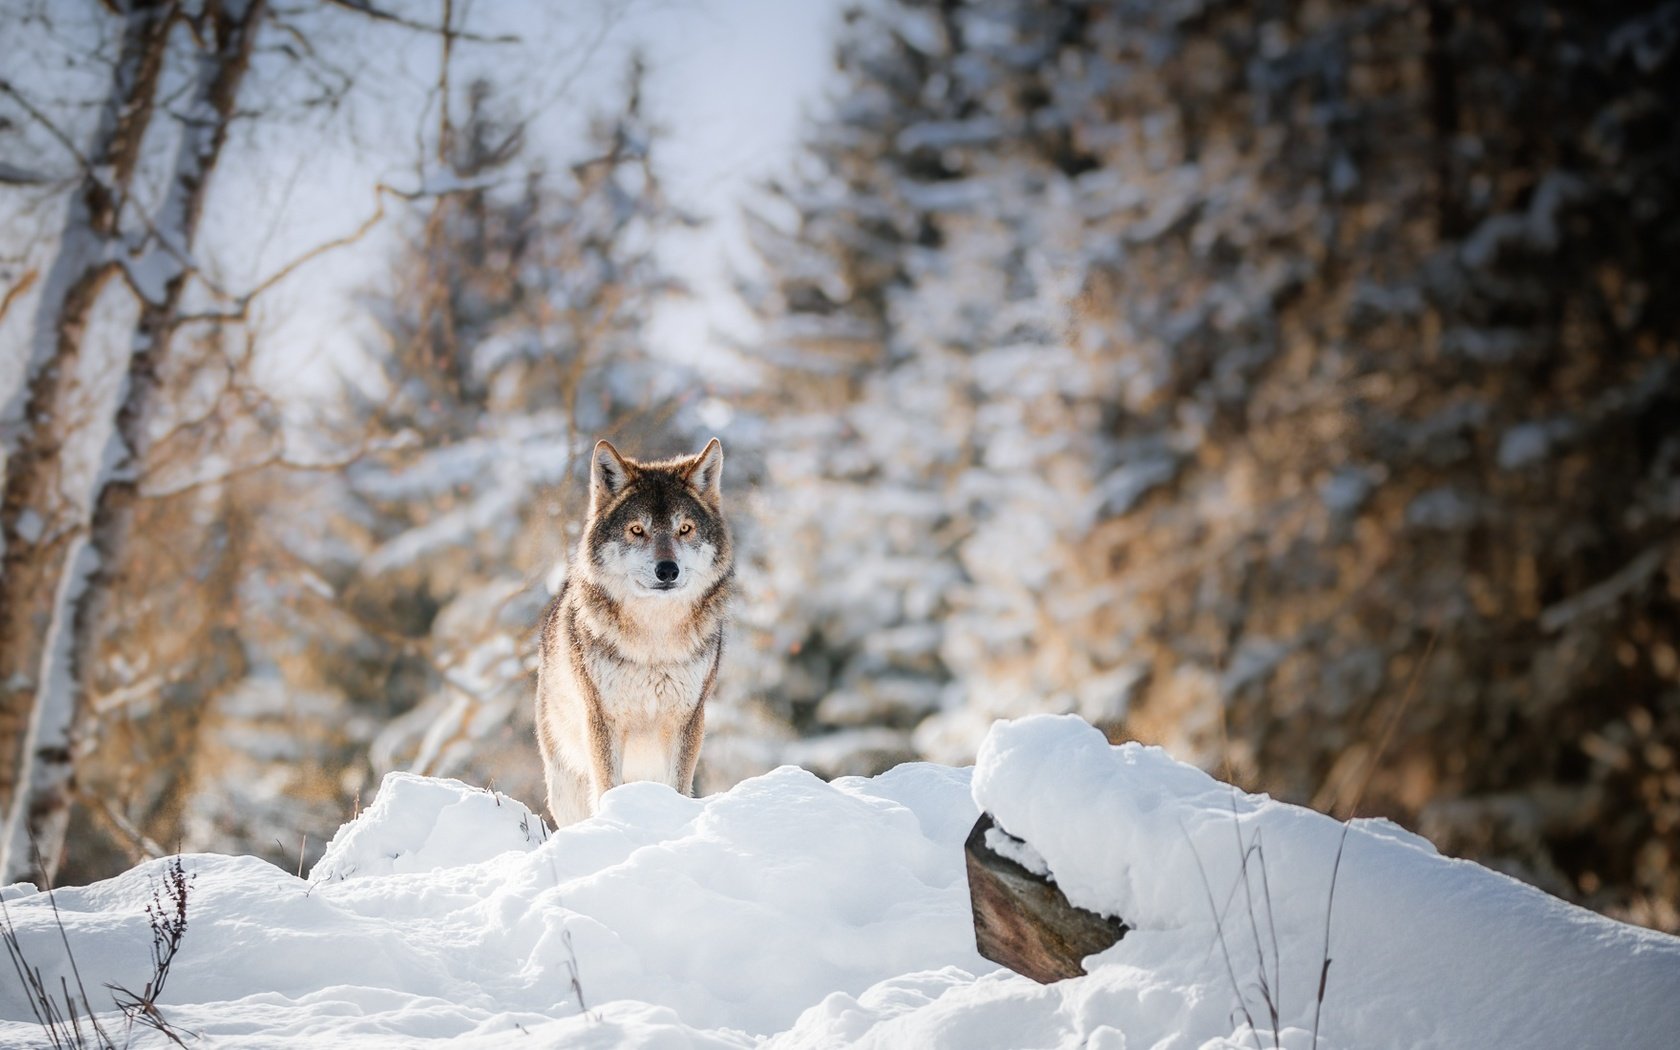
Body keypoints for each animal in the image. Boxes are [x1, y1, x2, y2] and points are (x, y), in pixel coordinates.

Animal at [530, 436, 729, 826]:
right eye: (637, 529)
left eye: (685, 529)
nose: (667, 570)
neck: (654, 641)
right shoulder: (602, 720)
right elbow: (607, 787)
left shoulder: (687, 720)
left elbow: (678, 787)